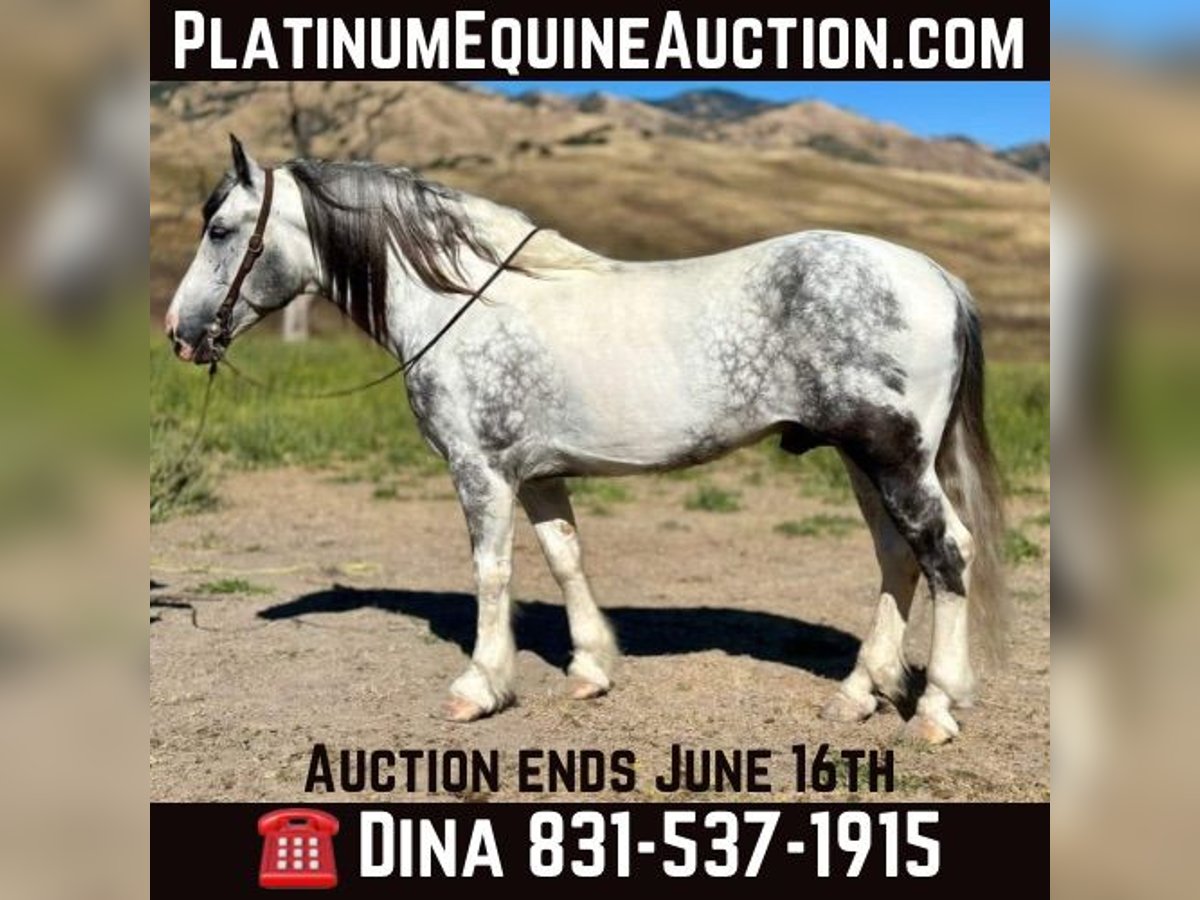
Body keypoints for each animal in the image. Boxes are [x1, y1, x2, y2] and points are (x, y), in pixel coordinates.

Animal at [164, 136, 1007, 744]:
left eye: (221, 230)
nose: (179, 334)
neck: (460, 299)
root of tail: (935, 275)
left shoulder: (480, 471)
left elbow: (493, 571)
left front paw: (478, 688)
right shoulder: (536, 474)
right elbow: (565, 557)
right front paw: (591, 670)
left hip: (894, 457)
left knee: (946, 553)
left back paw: (935, 710)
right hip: (864, 460)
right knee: (897, 557)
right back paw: (859, 695)